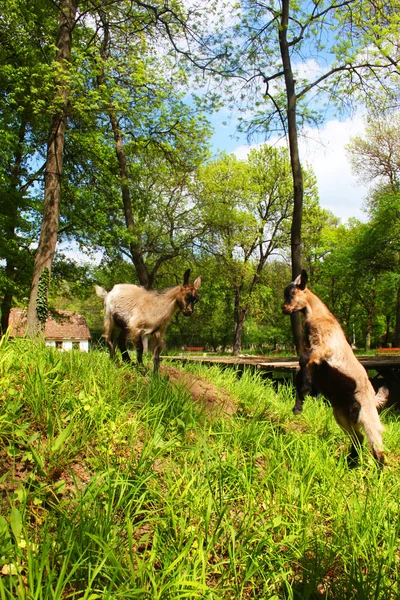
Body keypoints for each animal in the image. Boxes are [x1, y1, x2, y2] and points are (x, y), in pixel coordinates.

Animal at [282, 270, 388, 466]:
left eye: (293, 293)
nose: (284, 308)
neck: (319, 316)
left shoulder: (325, 347)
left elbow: (303, 361)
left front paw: (306, 389)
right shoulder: (312, 353)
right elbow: (301, 366)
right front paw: (299, 405)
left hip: (368, 415)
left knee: (376, 443)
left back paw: (379, 468)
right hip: (341, 415)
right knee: (358, 438)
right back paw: (351, 462)